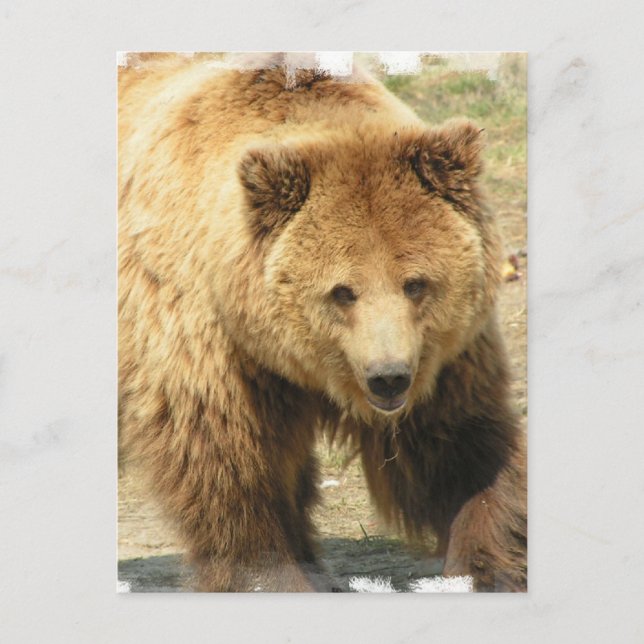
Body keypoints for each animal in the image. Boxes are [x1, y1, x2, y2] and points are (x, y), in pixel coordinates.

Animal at [118, 53, 527, 592]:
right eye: (343, 291)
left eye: (415, 283)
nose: (389, 377)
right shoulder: (207, 336)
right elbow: (227, 460)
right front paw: (271, 575)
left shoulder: (444, 355)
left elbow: (460, 445)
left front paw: (483, 568)